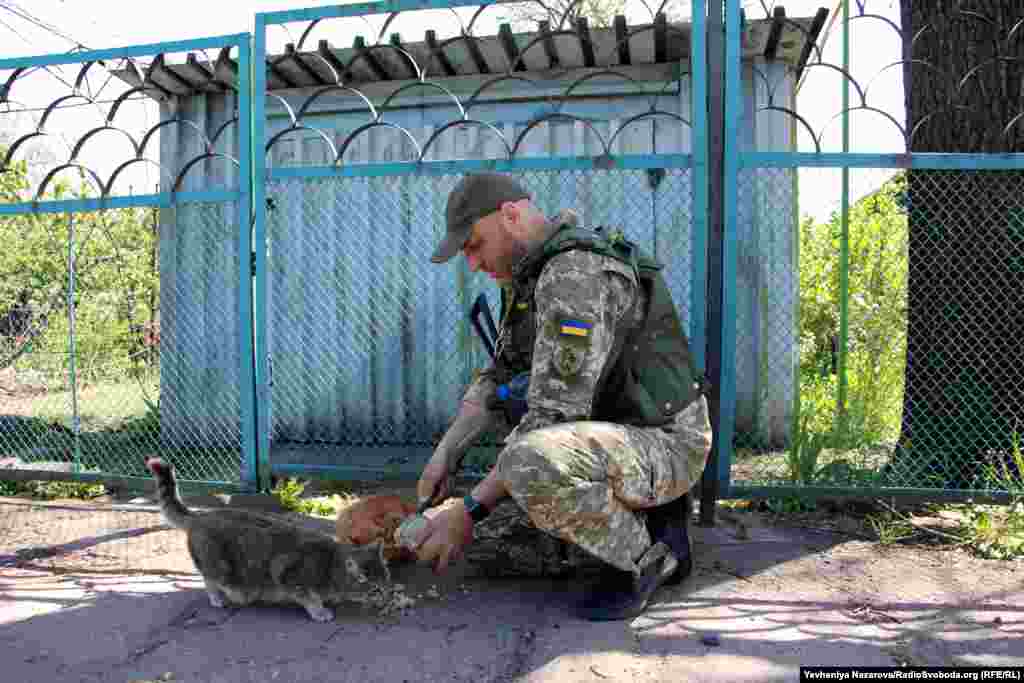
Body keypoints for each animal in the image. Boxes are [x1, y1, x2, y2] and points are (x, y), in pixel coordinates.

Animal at [148, 456, 391, 622]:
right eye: (375, 589)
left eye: (387, 580)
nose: (387, 596)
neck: (331, 564)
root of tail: (200, 516)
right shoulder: (286, 574)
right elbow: (308, 597)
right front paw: (320, 610)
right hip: (218, 564)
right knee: (211, 580)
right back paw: (223, 598)